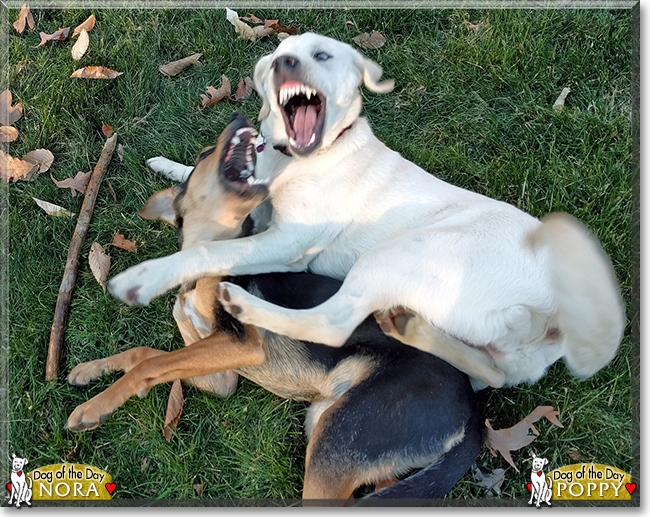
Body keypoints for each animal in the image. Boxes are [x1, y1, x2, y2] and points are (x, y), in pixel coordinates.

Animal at [107, 33, 624, 388]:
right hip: (489, 344)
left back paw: (246, 304)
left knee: (334, 324)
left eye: (321, 56)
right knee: (493, 375)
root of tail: (556, 313)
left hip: (404, 251)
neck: (292, 160)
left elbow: (207, 252)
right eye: (276, 57)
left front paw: (147, 277)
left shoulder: (288, 242)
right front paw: (169, 166)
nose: (285, 64)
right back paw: (413, 329)